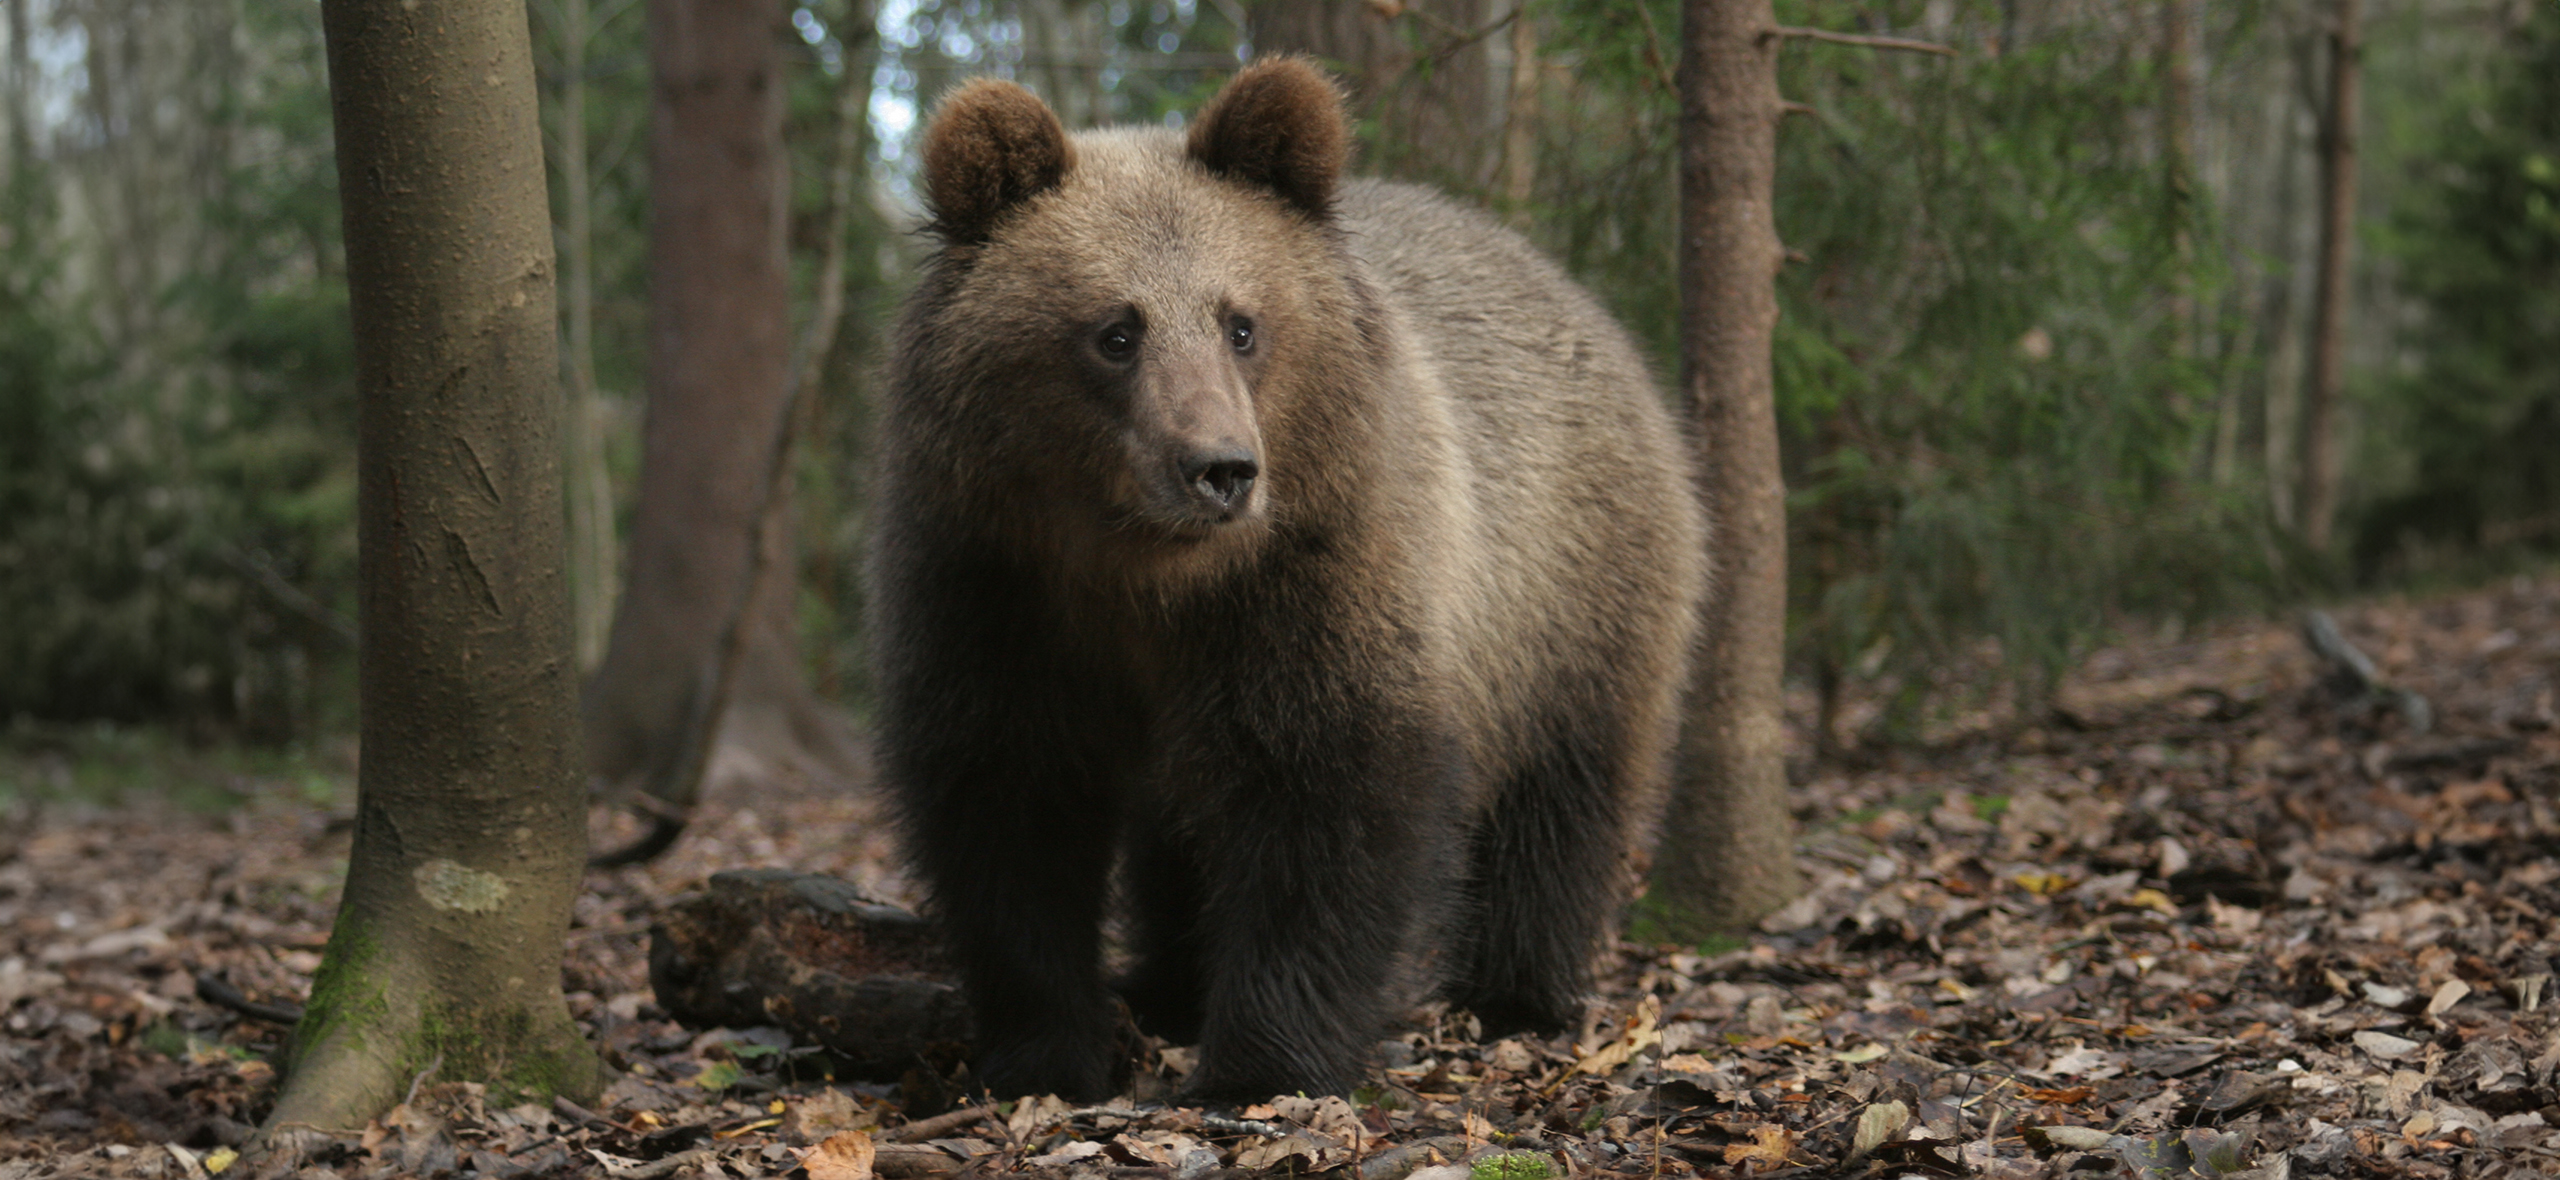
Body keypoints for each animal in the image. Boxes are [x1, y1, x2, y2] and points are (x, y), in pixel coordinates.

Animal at [870, 57, 1710, 1105]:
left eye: (1241, 324)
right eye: (1116, 331)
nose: (1221, 469)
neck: (1150, 574)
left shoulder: (1321, 577)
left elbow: (1325, 800)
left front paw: (1262, 1065)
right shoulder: (991, 582)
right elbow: (1009, 804)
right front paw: (1047, 1054)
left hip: (1574, 588)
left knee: (1560, 799)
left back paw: (1514, 996)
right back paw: (1168, 987)